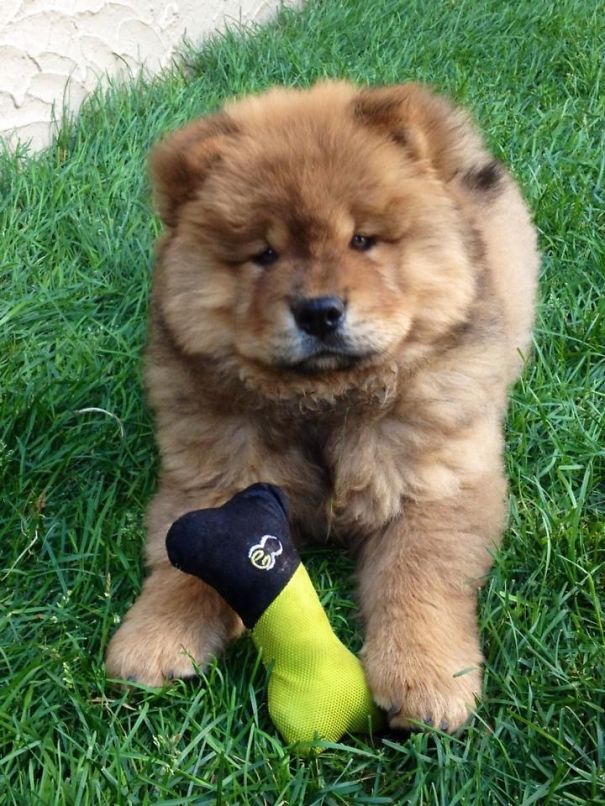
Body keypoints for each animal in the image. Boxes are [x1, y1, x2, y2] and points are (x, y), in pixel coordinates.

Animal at [105, 80, 536, 732]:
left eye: (362, 240)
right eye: (264, 254)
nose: (319, 311)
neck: (325, 403)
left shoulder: (435, 482)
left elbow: (418, 575)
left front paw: (427, 679)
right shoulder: (211, 476)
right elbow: (180, 559)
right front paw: (153, 638)